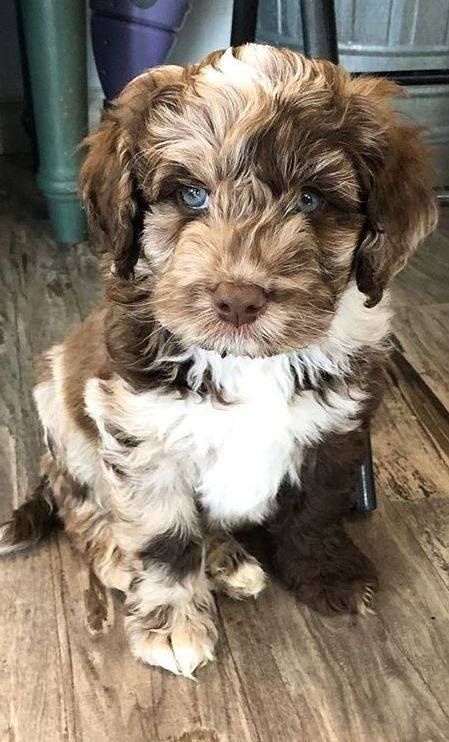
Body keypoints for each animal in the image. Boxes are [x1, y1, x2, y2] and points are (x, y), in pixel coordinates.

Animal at [0, 43, 434, 676]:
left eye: (310, 199)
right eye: (191, 195)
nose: (238, 299)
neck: (251, 360)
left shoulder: (335, 428)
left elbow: (316, 509)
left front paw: (328, 573)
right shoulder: (139, 433)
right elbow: (164, 536)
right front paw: (173, 623)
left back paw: (229, 562)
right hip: (59, 411)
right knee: (80, 510)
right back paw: (126, 558)